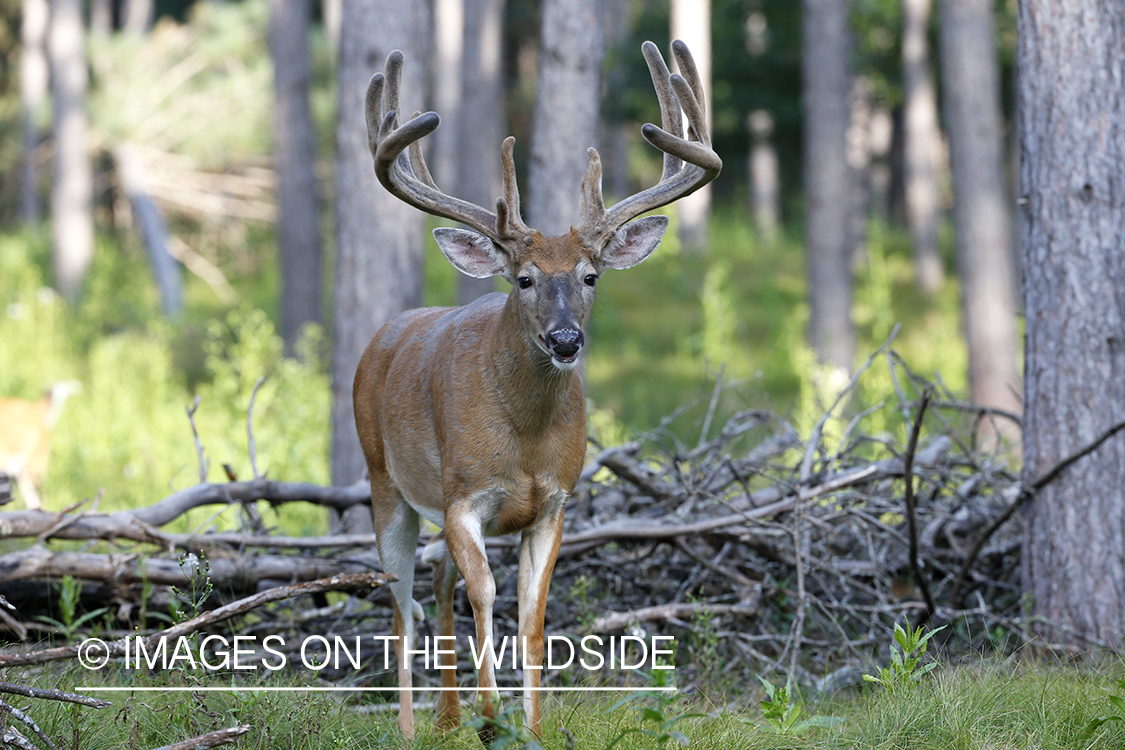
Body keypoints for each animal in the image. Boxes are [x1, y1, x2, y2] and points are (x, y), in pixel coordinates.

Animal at [351, 39, 720, 737]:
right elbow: (486, 593)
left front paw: (533, 728)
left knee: (436, 588)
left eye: (590, 275)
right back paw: (413, 727)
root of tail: (381, 336)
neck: (523, 439)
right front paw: (492, 718)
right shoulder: (463, 497)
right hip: (385, 481)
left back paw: (446, 721)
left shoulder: (555, 501)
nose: (566, 339)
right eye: (523, 279)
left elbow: (532, 614)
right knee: (402, 605)